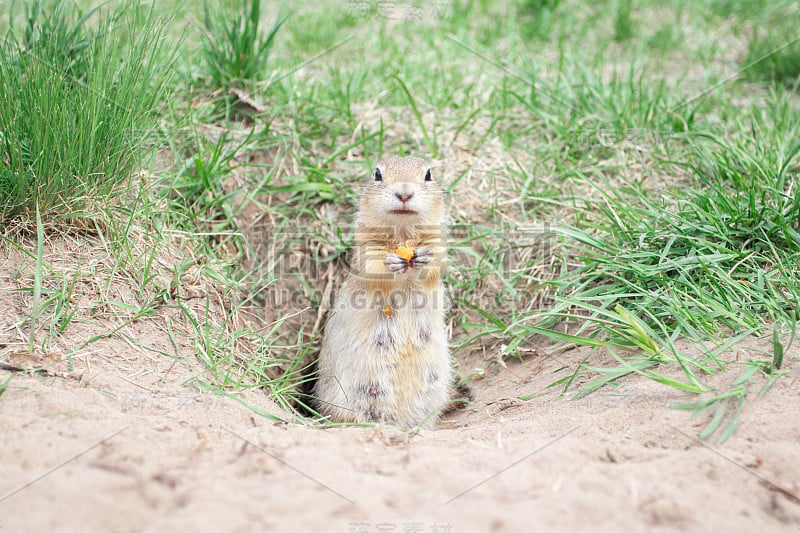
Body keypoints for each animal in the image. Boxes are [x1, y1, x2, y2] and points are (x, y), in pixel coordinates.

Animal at [312, 155, 454, 428]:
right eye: (377, 174)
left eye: (428, 174)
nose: (404, 193)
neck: (402, 233)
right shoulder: (366, 245)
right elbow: (373, 266)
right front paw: (392, 262)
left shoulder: (438, 241)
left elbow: (437, 264)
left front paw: (423, 257)